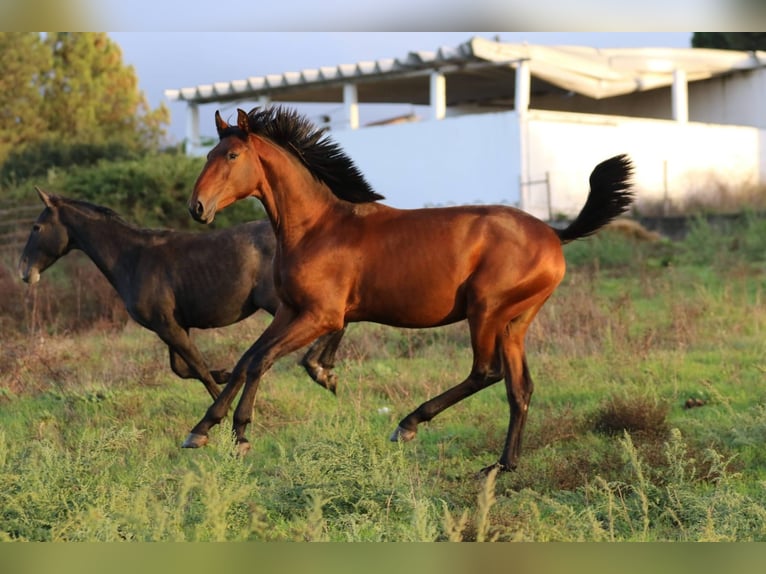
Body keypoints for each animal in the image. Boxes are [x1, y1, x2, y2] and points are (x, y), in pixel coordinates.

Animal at [18, 189, 348, 400]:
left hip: (282, 303)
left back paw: (319, 370)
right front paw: (225, 373)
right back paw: (323, 371)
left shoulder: (168, 326)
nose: (24, 270)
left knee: (337, 322)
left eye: (36, 227)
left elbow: (197, 368)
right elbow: (181, 368)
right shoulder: (173, 326)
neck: (132, 258)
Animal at [183, 107, 632, 472]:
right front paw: (202, 429)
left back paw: (409, 425)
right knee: (519, 388)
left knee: (486, 372)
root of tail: (555, 235)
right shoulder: (290, 311)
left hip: (486, 311)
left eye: (232, 156)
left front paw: (240, 435)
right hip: (514, 322)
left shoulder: (320, 316)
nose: (198, 208)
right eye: (208, 155)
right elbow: (246, 359)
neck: (317, 227)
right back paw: (502, 466)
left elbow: (262, 360)